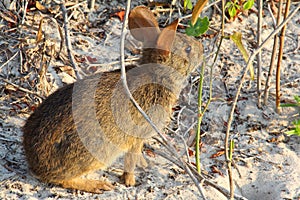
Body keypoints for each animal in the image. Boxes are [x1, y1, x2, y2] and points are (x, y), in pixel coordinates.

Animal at [22, 5, 203, 194]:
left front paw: (145, 164)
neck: (156, 76)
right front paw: (130, 181)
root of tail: (36, 164)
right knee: (63, 180)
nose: (202, 48)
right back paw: (97, 185)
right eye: (188, 49)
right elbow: (131, 159)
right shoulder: (137, 135)